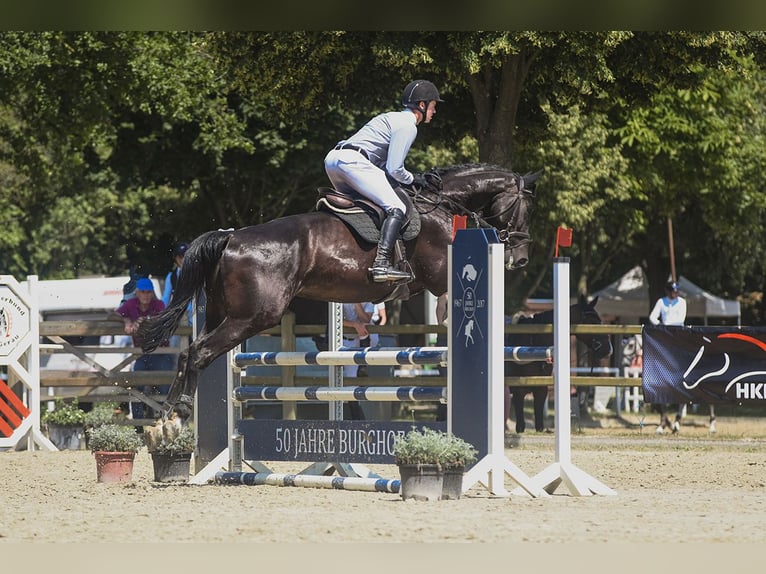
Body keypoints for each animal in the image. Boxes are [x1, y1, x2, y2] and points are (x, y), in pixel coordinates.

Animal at [141, 164, 544, 420]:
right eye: (526, 207)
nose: (521, 257)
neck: (440, 204)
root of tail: (231, 238)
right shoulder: (437, 274)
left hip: (219, 312)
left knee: (187, 353)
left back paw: (167, 414)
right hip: (252, 317)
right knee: (199, 352)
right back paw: (179, 411)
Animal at [508, 294, 616, 434]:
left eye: (600, 321)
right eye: (591, 322)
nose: (608, 349)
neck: (531, 343)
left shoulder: (540, 390)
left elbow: (539, 426)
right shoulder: (518, 392)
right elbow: (520, 426)